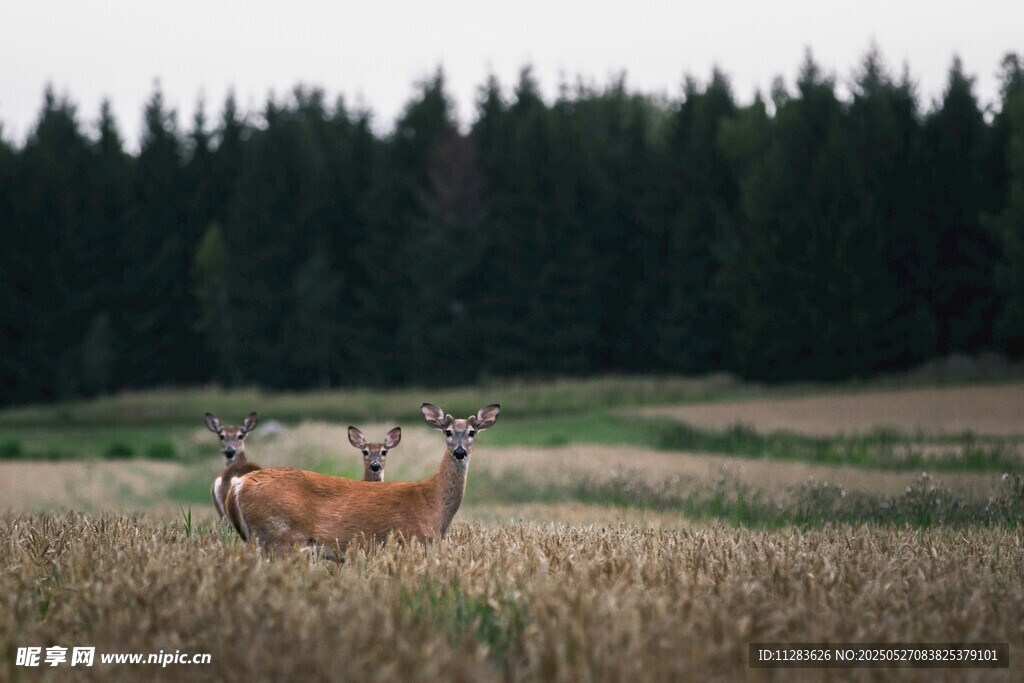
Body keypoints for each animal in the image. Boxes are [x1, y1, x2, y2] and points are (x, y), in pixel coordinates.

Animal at [224, 403, 500, 556]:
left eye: (472, 432)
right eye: (448, 431)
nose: (460, 452)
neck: (432, 502)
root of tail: (238, 486)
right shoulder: (413, 541)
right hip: (281, 537)